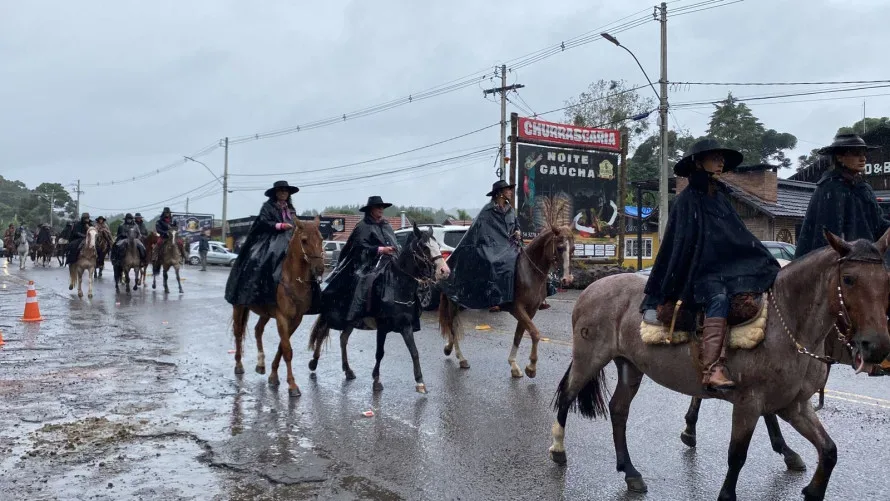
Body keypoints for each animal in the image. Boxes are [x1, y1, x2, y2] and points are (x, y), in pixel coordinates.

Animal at [231, 217, 324, 396]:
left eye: (322, 239)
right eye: (304, 240)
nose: (320, 269)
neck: (293, 280)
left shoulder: (296, 319)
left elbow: (282, 346)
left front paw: (273, 376)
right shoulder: (282, 317)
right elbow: (287, 350)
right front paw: (292, 385)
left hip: (265, 313)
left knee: (258, 330)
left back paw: (261, 364)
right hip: (238, 307)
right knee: (238, 333)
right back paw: (238, 365)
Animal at [308, 225, 450, 392]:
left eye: (438, 246)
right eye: (425, 247)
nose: (445, 271)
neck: (397, 286)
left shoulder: (406, 326)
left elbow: (414, 352)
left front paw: (420, 382)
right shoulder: (382, 327)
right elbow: (379, 353)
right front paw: (376, 380)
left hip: (351, 321)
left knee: (343, 338)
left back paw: (348, 370)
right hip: (333, 317)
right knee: (321, 333)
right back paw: (314, 362)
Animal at [438, 225, 576, 376]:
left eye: (573, 248)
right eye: (560, 247)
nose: (567, 279)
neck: (529, 273)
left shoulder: (531, 311)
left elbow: (519, 335)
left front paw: (514, 365)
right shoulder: (517, 309)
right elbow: (535, 333)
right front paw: (531, 367)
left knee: (453, 326)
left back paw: (448, 349)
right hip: (453, 302)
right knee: (452, 327)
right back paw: (461, 358)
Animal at [544, 230, 888, 500]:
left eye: (886, 279)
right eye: (849, 279)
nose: (877, 346)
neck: (787, 324)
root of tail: (591, 288)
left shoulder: (794, 405)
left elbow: (829, 450)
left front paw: (812, 488)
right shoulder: (750, 403)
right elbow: (737, 456)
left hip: (630, 365)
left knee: (618, 410)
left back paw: (630, 471)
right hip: (589, 357)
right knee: (568, 395)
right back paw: (558, 450)